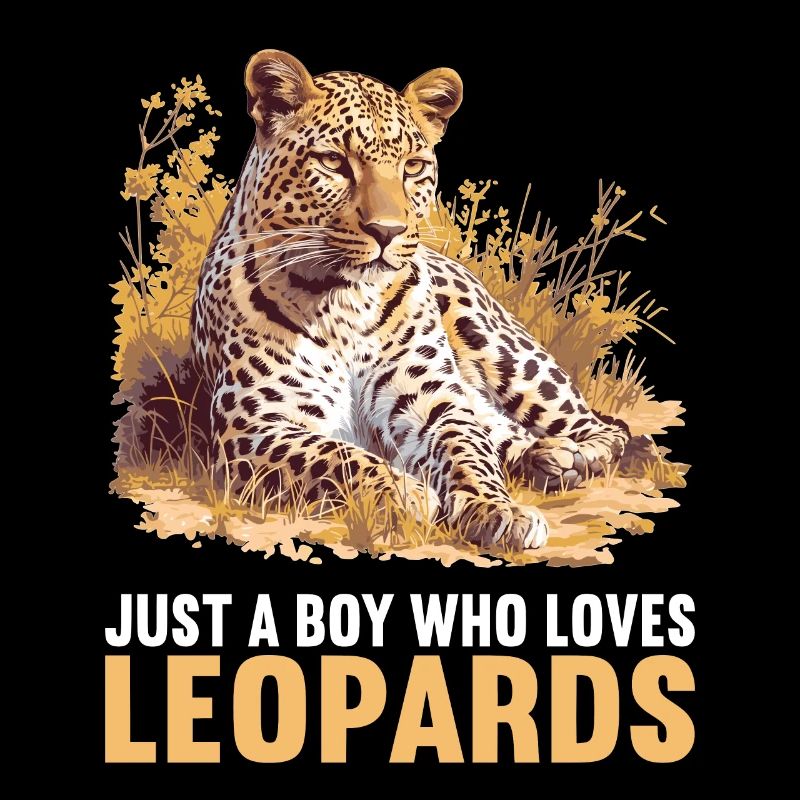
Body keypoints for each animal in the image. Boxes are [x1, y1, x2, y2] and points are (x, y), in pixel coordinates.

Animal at [191, 49, 633, 553]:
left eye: (414, 167)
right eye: (333, 162)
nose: (388, 231)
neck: (345, 304)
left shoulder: (431, 400)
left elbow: (465, 451)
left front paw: (497, 510)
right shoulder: (257, 424)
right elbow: (335, 455)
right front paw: (405, 493)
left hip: (503, 347)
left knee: (593, 427)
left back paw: (579, 454)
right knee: (500, 428)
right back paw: (549, 456)